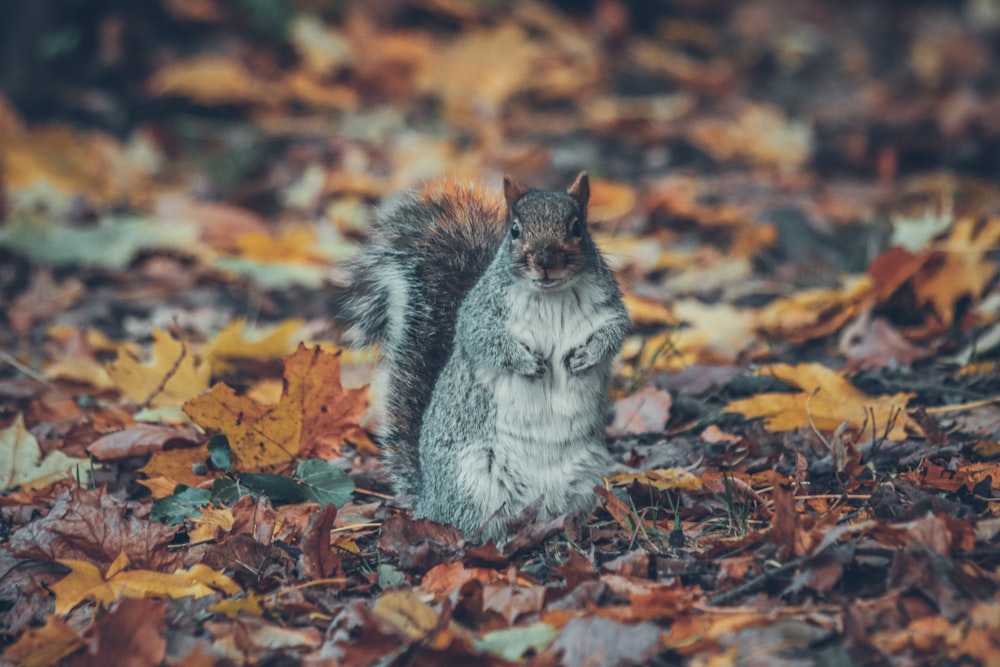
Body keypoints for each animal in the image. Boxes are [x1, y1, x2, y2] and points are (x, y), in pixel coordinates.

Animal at [344, 172, 624, 544]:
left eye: (577, 227)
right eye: (515, 230)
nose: (545, 261)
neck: (551, 296)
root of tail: (429, 500)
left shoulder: (609, 309)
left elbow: (615, 333)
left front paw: (586, 357)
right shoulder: (477, 316)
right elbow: (486, 342)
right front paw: (527, 363)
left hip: (586, 475)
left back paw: (570, 528)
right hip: (474, 480)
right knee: (472, 524)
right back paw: (497, 539)